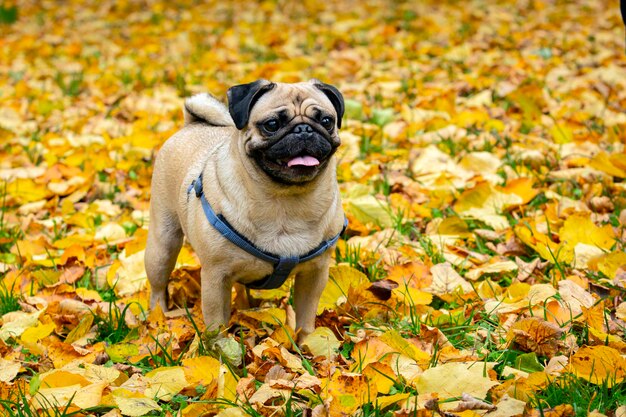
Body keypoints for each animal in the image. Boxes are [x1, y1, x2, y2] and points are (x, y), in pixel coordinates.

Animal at [144, 79, 344, 338]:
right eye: (272, 125)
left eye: (326, 121)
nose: (304, 129)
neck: (285, 201)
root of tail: (193, 124)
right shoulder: (216, 278)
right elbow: (216, 325)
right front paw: (221, 348)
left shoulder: (314, 274)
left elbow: (306, 319)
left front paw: (307, 345)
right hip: (162, 246)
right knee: (158, 283)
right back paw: (158, 316)